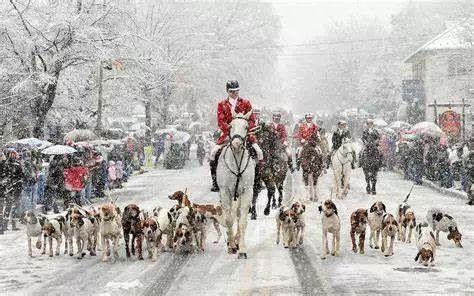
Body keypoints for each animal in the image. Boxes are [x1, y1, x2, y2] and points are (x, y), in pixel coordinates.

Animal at [217, 108, 256, 260]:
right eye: (230, 126)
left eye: (246, 127)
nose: (237, 144)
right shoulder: (225, 191)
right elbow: (228, 220)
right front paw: (232, 246)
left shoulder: (246, 191)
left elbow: (243, 221)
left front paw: (242, 249)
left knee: (238, 215)